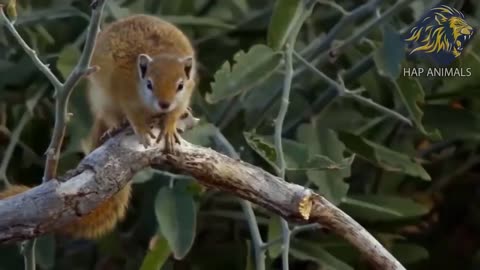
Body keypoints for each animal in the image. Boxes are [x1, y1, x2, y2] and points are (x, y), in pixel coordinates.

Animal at [0, 14, 197, 238]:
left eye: (180, 85)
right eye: (149, 84)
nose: (164, 104)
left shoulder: (184, 95)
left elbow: (174, 113)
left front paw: (170, 127)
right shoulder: (125, 93)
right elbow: (133, 115)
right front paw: (141, 129)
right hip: (102, 99)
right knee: (110, 117)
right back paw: (116, 127)